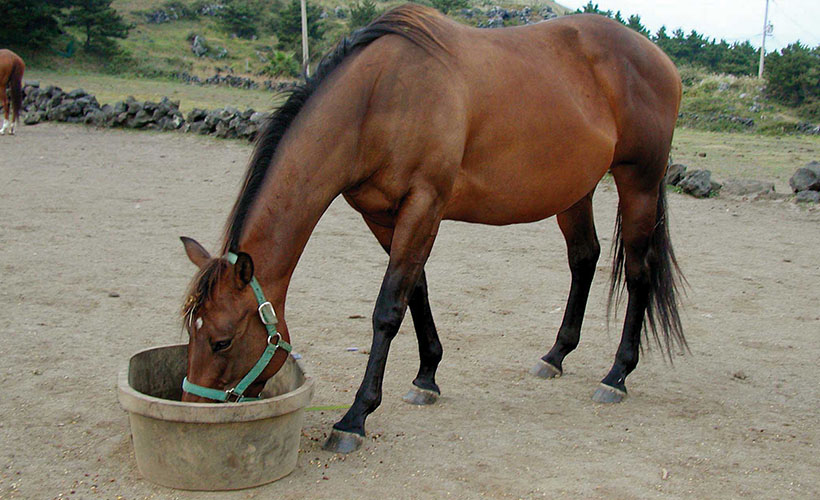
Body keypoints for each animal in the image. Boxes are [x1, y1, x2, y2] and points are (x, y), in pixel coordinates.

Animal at [179, 3, 684, 456]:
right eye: (189, 330)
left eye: (222, 341)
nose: (191, 407)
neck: (377, 99)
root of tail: (659, 58)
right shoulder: (382, 215)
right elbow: (415, 292)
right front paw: (427, 378)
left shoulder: (424, 206)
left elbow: (388, 308)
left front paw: (355, 418)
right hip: (575, 190)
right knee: (584, 258)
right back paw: (555, 355)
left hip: (638, 183)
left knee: (638, 271)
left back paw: (617, 375)